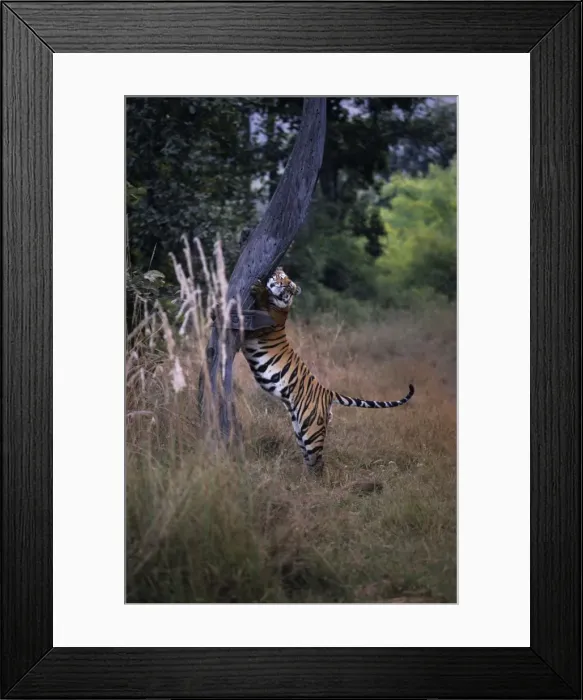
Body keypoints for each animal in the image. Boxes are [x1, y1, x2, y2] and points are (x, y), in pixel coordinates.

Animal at [240, 266, 415, 477]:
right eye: (282, 278)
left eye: (288, 284)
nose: (282, 284)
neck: (282, 306)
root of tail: (327, 392)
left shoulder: (261, 324)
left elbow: (261, 305)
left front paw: (259, 290)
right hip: (299, 429)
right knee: (309, 459)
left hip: (311, 429)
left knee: (318, 462)